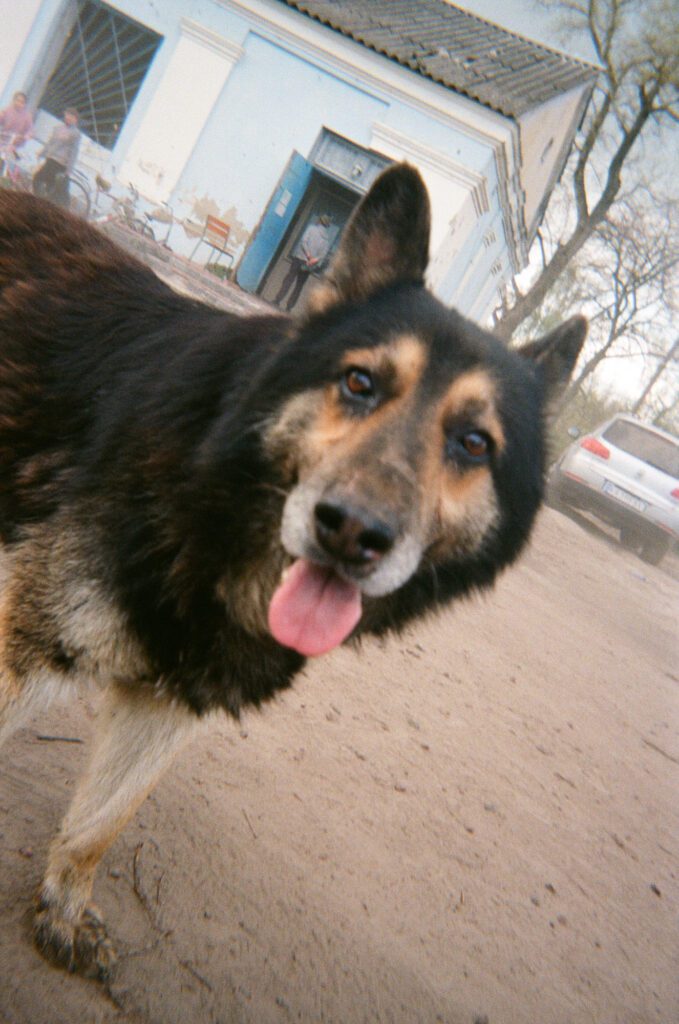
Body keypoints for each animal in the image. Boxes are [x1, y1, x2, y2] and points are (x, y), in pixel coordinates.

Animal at [0, 163, 585, 978]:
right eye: (360, 384)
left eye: (473, 442)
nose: (352, 534)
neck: (214, 501)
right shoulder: (21, 652)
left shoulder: (170, 701)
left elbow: (103, 821)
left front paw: (62, 911)